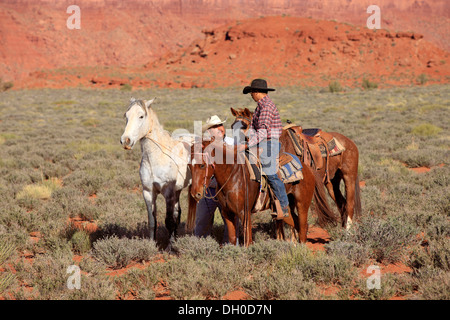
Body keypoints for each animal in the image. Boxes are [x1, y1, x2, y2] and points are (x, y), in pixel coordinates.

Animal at [120, 98, 196, 248]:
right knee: (178, 213)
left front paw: (169, 248)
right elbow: (152, 221)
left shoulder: (168, 193)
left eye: (141, 116)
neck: (156, 158)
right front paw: (151, 244)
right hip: (178, 191)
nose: (125, 140)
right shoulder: (148, 192)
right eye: (126, 115)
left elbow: (169, 221)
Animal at [186, 131, 338, 246]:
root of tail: (307, 168)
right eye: (189, 166)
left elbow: (248, 242)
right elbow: (232, 239)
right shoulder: (227, 213)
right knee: (296, 223)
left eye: (202, 165)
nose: (195, 193)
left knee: (303, 226)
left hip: (302, 204)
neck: (233, 175)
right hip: (288, 206)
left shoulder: (245, 213)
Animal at [232, 107, 362, 230]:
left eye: (244, 126)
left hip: (348, 176)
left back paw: (348, 231)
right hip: (331, 182)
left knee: (350, 203)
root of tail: (350, 142)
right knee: (342, 203)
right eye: (232, 126)